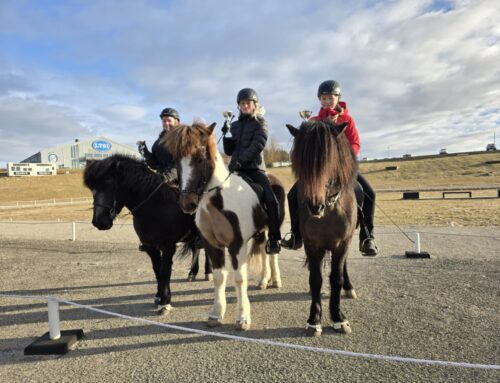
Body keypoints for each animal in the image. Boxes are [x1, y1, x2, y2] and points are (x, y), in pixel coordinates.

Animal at [82, 154, 211, 314]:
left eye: (108, 185)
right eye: (92, 189)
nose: (99, 222)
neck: (157, 206)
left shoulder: (168, 246)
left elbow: (164, 271)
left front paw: (165, 302)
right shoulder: (150, 247)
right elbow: (157, 270)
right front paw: (158, 296)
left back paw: (208, 272)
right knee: (196, 249)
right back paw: (193, 273)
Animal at [167, 122, 286, 330]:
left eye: (199, 159)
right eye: (176, 160)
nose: (187, 204)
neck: (218, 200)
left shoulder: (237, 245)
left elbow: (239, 279)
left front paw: (243, 317)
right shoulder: (212, 244)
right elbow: (218, 277)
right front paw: (216, 314)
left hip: (272, 228)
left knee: (273, 254)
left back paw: (275, 280)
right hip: (260, 232)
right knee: (264, 254)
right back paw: (263, 281)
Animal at [286, 120, 360, 336]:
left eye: (330, 160)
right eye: (301, 162)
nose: (314, 206)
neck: (329, 210)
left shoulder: (342, 244)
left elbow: (336, 278)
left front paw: (338, 318)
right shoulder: (311, 245)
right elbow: (316, 279)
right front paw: (314, 319)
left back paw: (348, 287)